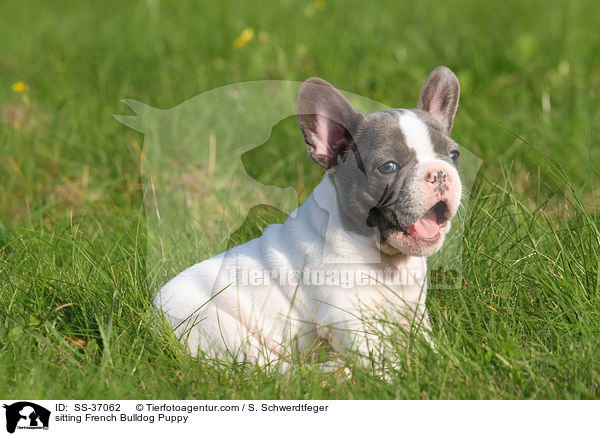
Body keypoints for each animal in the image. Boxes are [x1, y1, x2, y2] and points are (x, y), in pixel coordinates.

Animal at [152, 66, 462, 370]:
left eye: (453, 155)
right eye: (388, 167)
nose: (439, 172)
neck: (387, 263)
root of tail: (153, 314)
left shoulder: (412, 311)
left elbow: (423, 341)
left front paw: (439, 361)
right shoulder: (348, 320)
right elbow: (380, 360)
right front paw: (399, 377)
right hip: (215, 327)